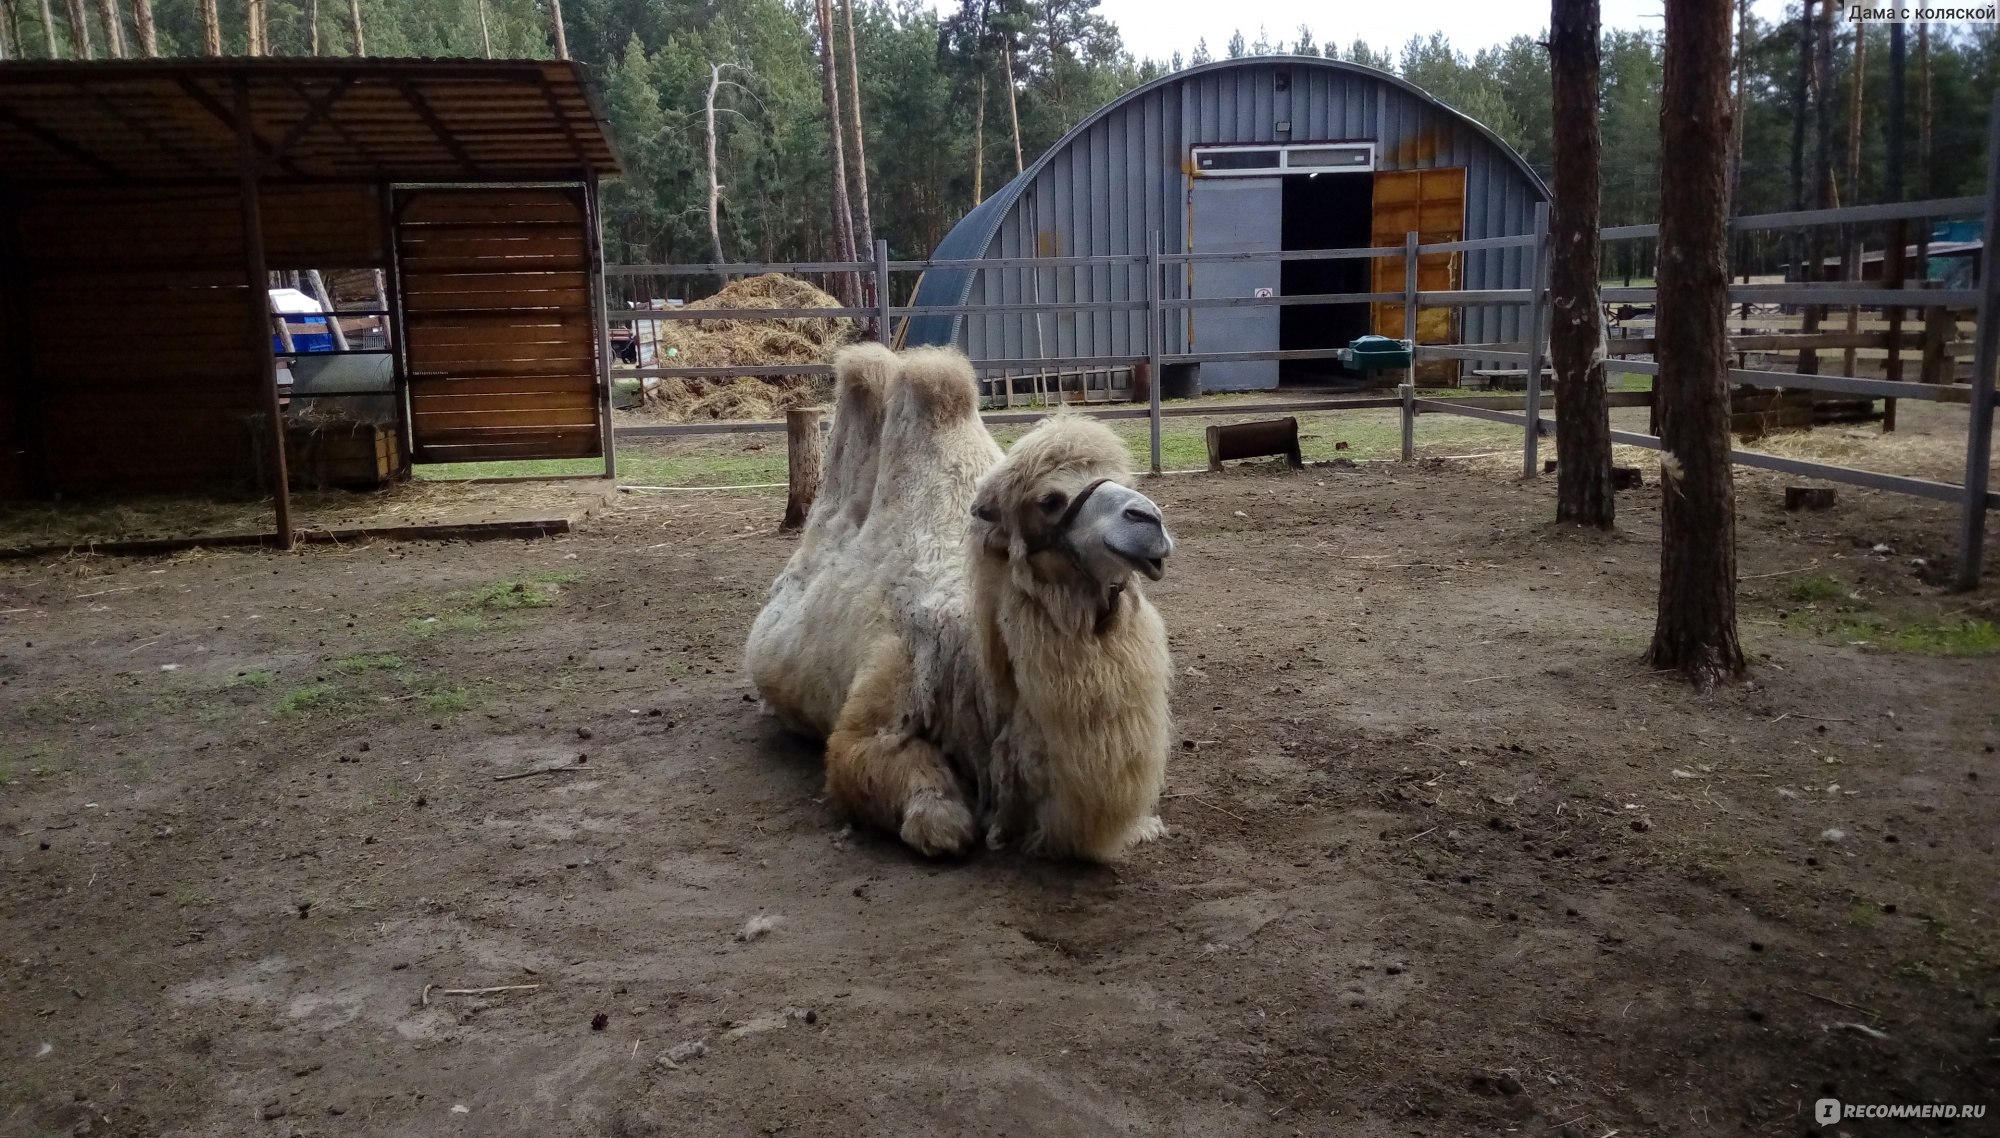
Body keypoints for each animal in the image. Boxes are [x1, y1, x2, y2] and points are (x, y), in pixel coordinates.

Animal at [744, 342, 1168, 856]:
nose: (1149, 520)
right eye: (1049, 499)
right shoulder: (880, 696)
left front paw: (1142, 825)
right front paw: (945, 820)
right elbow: (903, 792)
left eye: (1123, 478)